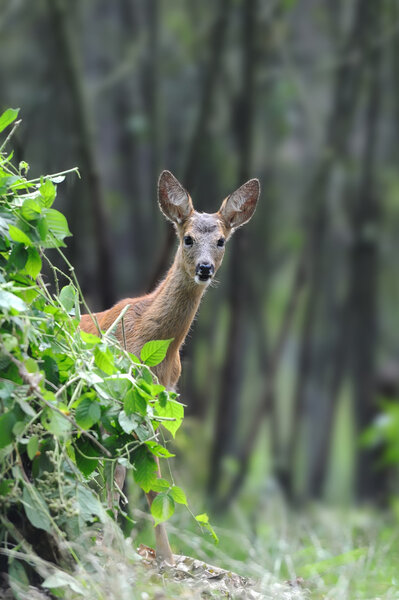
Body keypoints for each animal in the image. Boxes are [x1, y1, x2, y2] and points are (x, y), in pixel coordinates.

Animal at [79, 171, 260, 564]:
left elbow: (144, 478)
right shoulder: (119, 391)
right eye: (188, 237)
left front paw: (160, 554)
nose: (205, 268)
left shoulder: (155, 401)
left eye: (221, 240)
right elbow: (125, 476)